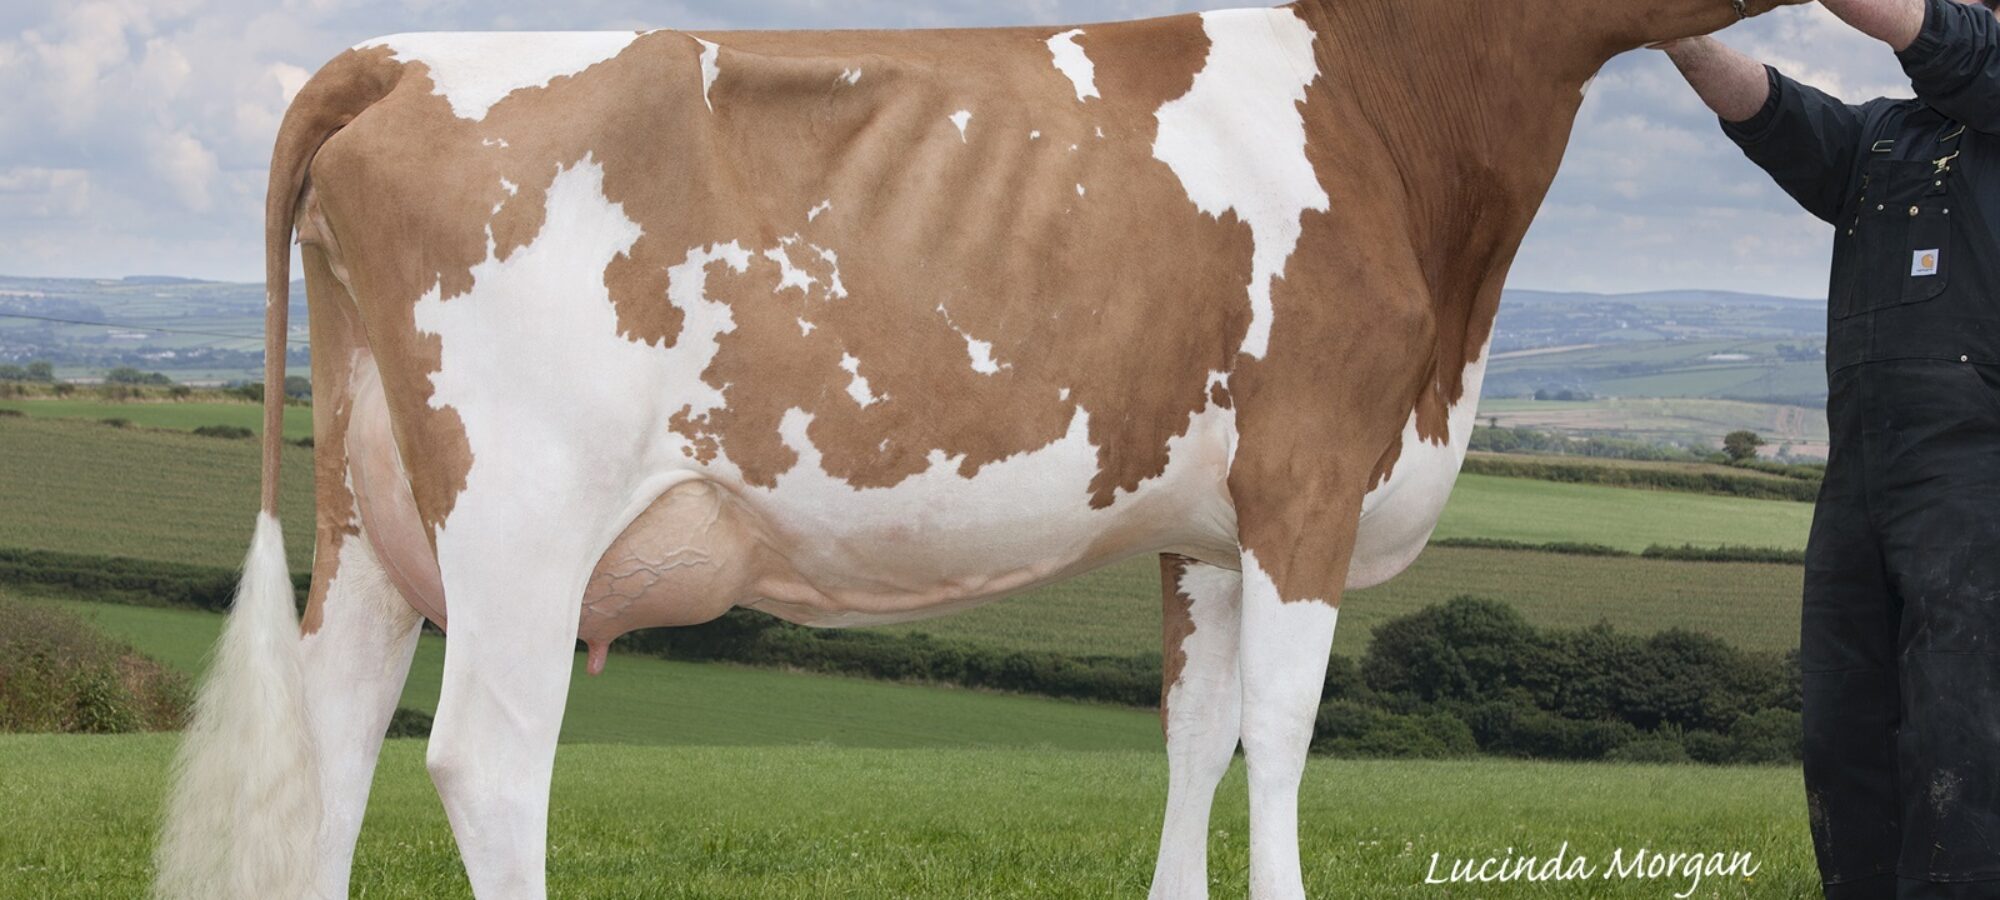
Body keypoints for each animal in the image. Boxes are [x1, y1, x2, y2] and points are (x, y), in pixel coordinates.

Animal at [153, 0, 1800, 897]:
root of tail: (396, 57)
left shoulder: (1202, 527)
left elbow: (1196, 736)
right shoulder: (1308, 477)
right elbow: (1279, 741)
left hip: (373, 513)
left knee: (335, 740)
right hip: (522, 514)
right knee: (489, 763)